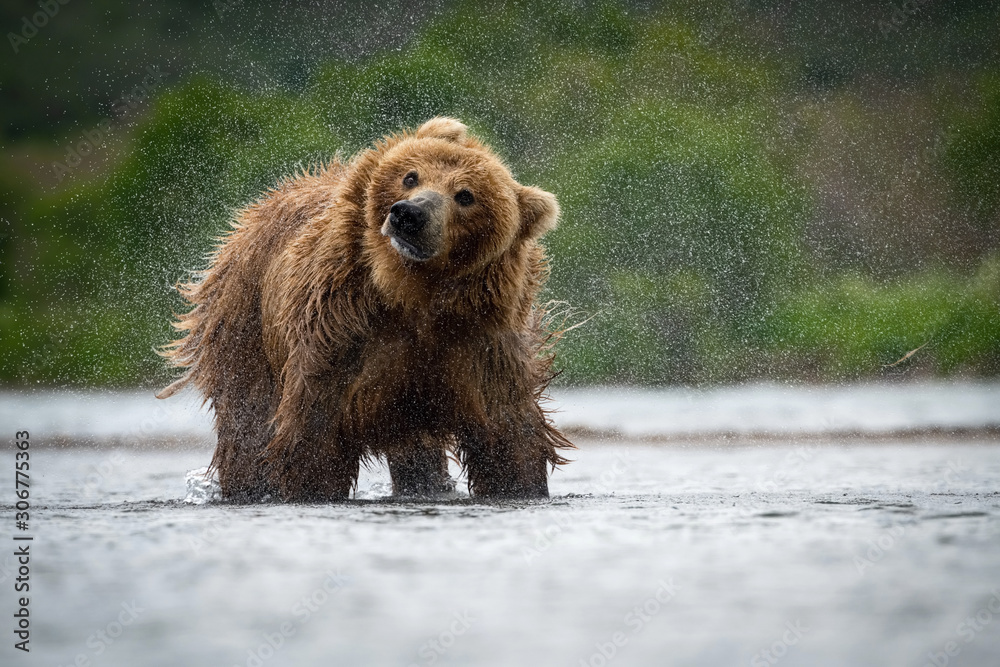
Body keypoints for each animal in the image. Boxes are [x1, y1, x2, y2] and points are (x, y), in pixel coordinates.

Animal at [158, 117, 573, 502]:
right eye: (410, 175)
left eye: (466, 195)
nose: (408, 215)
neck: (412, 295)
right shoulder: (341, 330)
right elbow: (315, 435)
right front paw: (311, 485)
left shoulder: (480, 346)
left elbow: (508, 435)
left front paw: (520, 483)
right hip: (246, 326)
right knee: (247, 425)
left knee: (418, 454)